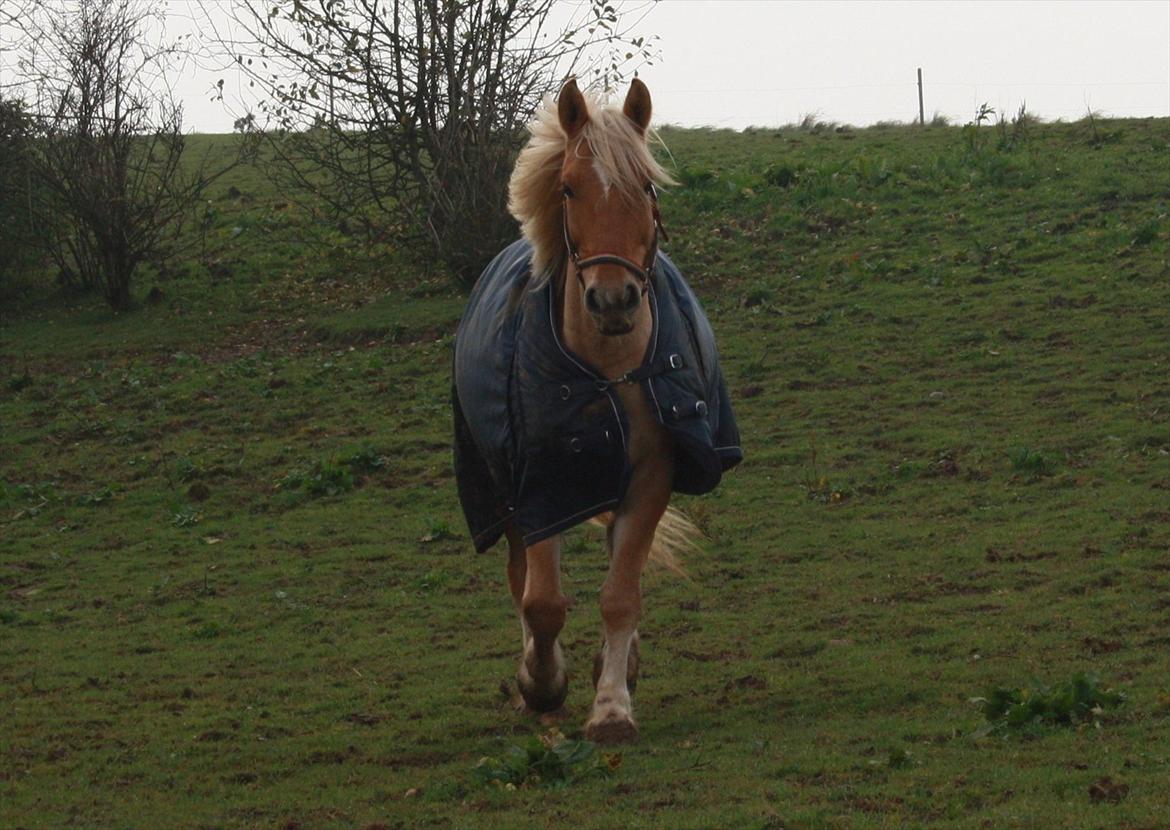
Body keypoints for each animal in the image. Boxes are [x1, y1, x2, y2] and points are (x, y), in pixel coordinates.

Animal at [449, 76, 739, 739]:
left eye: (647, 188)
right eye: (568, 188)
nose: (613, 301)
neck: (607, 371)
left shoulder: (653, 475)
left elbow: (620, 593)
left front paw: (610, 706)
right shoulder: (539, 487)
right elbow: (542, 602)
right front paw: (541, 682)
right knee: (521, 581)